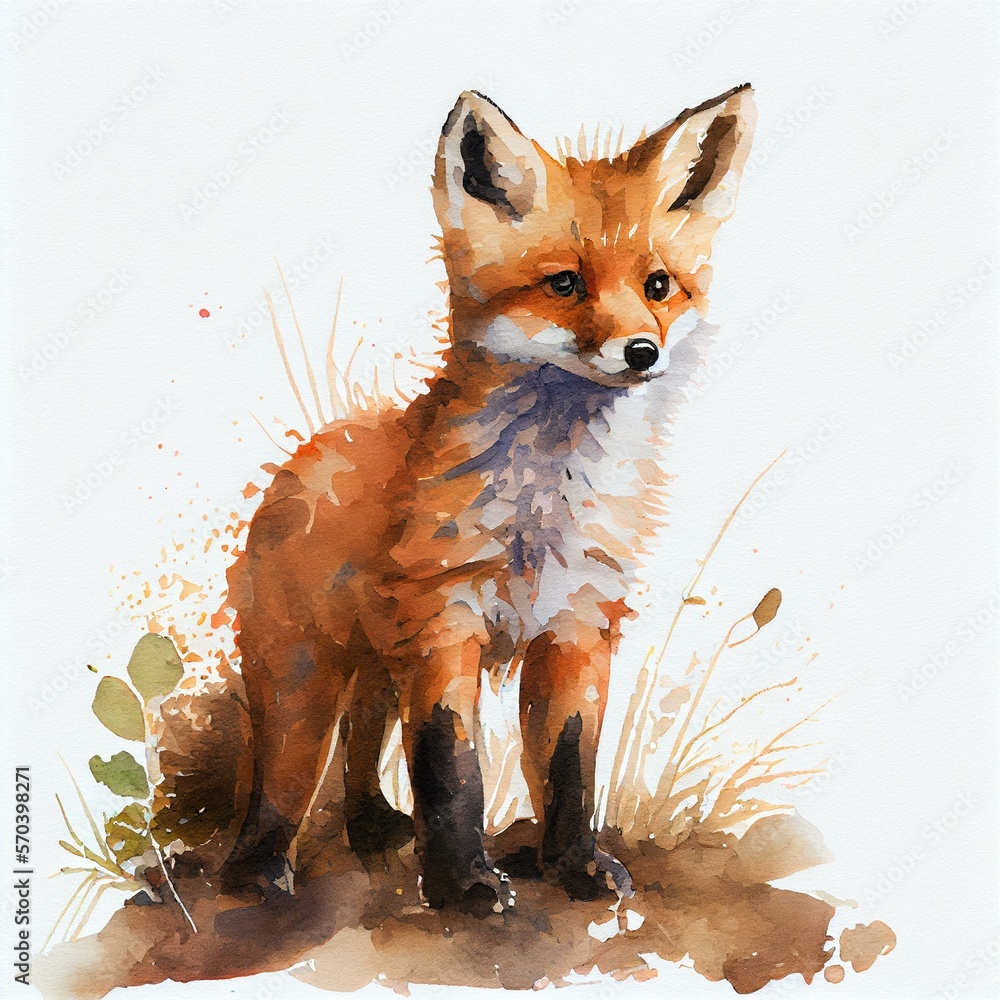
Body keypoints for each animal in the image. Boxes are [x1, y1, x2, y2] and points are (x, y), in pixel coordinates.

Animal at [221, 85, 756, 911]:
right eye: (564, 283)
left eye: (659, 286)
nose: (643, 352)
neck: (544, 502)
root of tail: (314, 443)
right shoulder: (445, 622)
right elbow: (451, 768)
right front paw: (464, 884)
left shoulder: (578, 621)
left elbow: (570, 766)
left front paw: (574, 867)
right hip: (302, 672)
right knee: (286, 771)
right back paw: (257, 868)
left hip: (379, 665)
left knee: (362, 741)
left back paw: (371, 824)